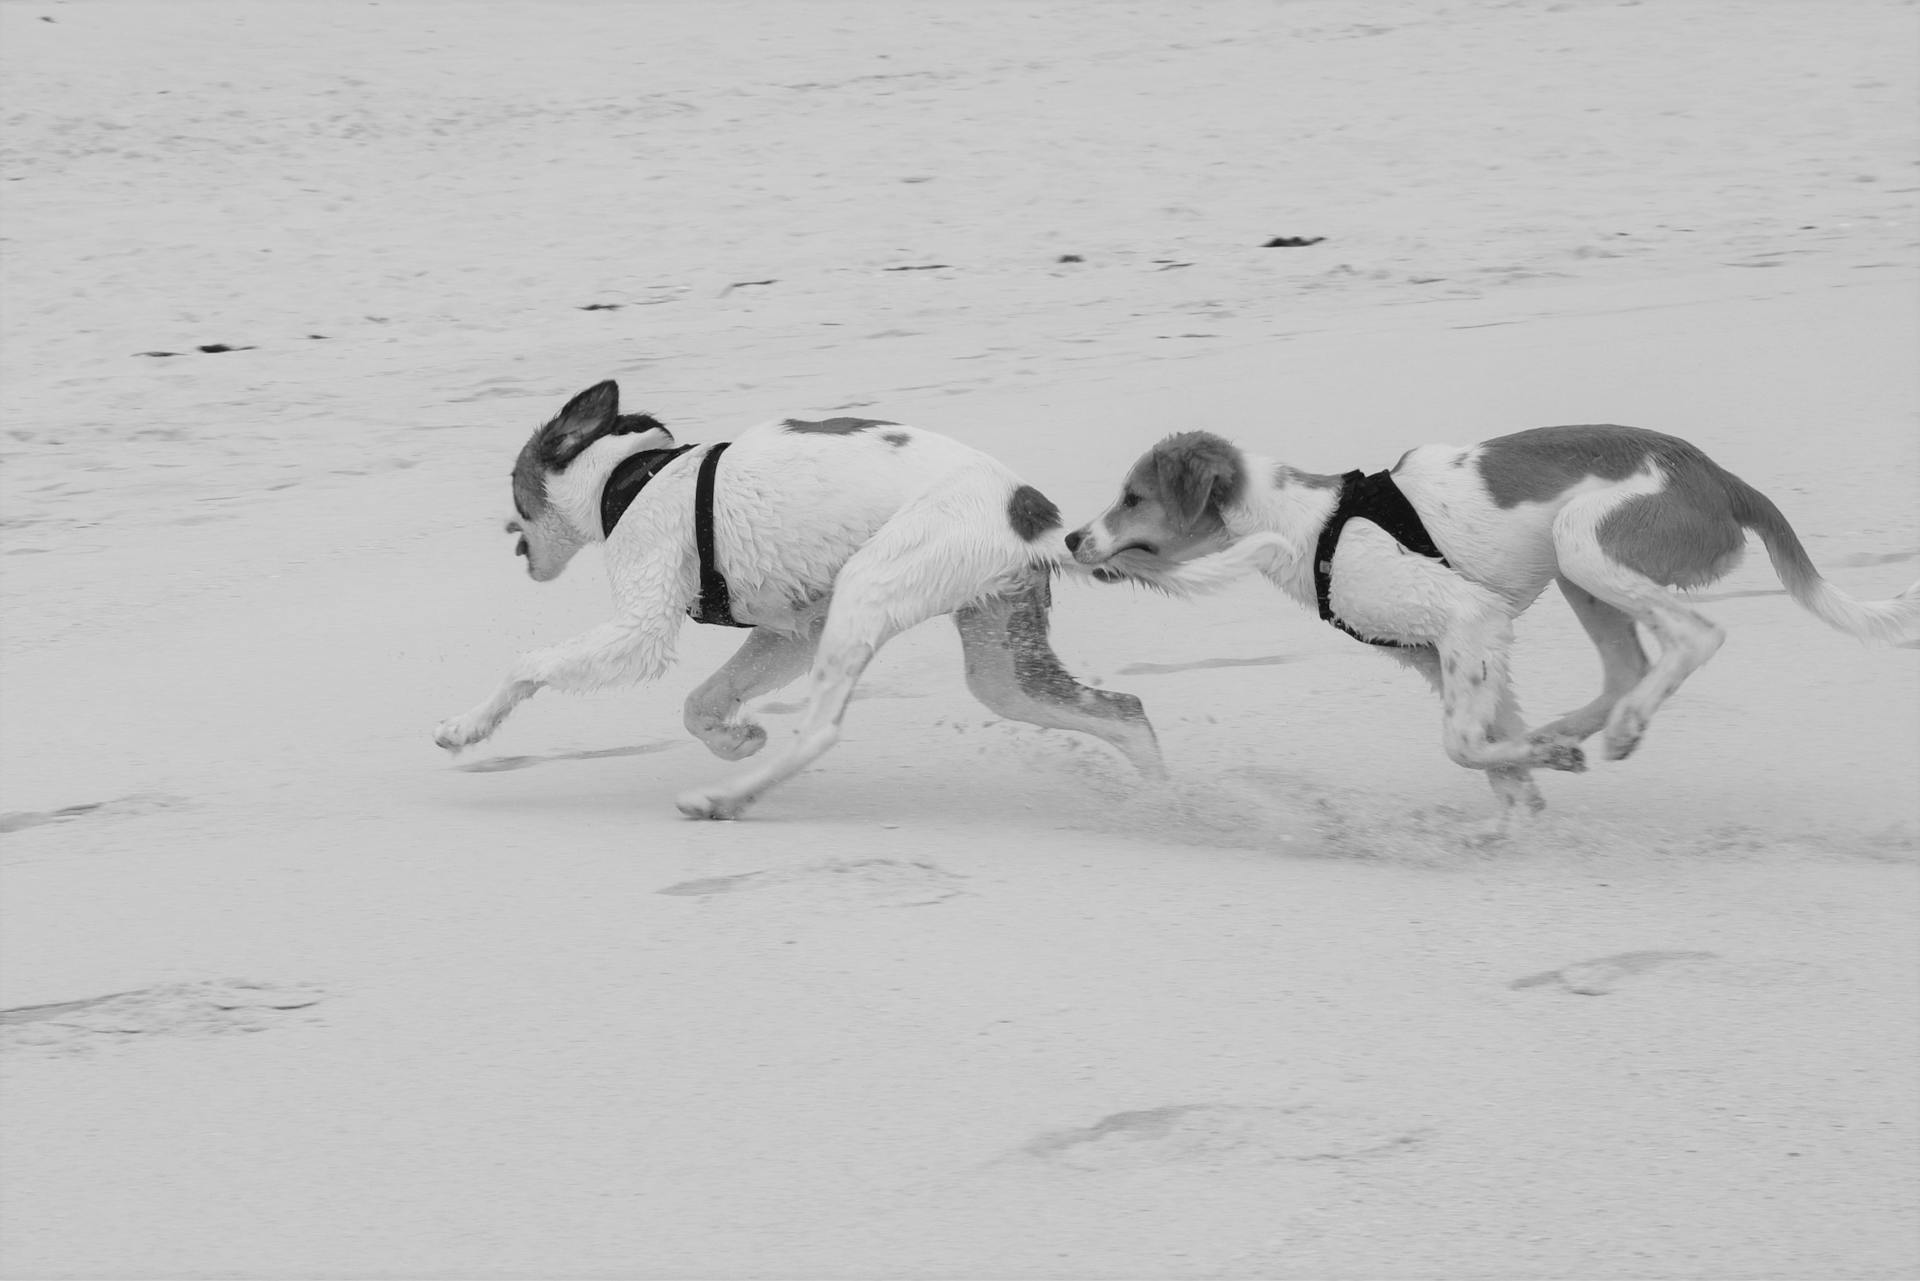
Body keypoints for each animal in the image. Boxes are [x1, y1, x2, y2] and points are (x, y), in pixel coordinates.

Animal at [430, 380, 1159, 821]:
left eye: (515, 487)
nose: (507, 535)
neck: (627, 476)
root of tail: (1029, 514)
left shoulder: (640, 625)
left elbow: (528, 666)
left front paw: (466, 727)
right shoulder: (791, 631)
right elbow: (700, 703)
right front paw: (737, 736)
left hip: (873, 584)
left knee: (823, 732)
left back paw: (724, 799)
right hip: (1001, 664)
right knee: (1124, 710)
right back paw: (1159, 798)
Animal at [1067, 422, 1920, 821]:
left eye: (1133, 497)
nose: (1073, 540)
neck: (1310, 523)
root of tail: (1720, 478)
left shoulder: (1466, 618)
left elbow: (1461, 746)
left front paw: (1542, 773)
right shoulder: (1448, 651)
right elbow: (1494, 758)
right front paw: (1522, 816)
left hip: (1585, 543)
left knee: (1694, 638)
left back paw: (1618, 730)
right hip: (1581, 577)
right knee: (1628, 668)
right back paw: (1571, 729)